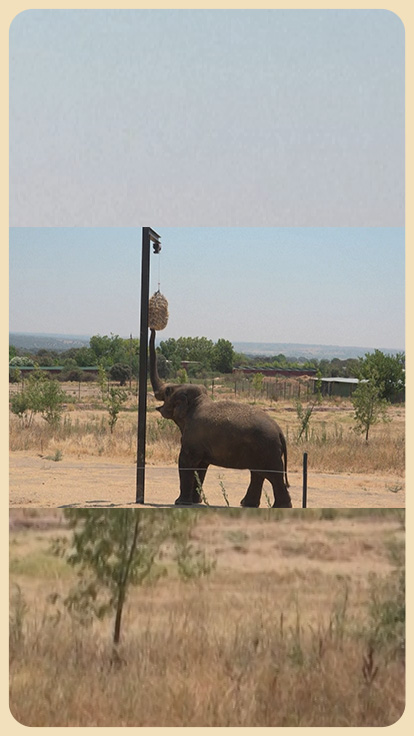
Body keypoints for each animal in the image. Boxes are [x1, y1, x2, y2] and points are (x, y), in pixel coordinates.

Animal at [149, 330, 292, 508]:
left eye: (168, 391)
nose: (152, 328)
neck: (197, 402)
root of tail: (280, 431)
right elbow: (201, 467)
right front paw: (195, 501)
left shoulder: (192, 439)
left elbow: (185, 462)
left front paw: (180, 502)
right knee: (258, 473)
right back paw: (248, 504)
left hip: (268, 449)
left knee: (272, 475)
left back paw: (279, 506)